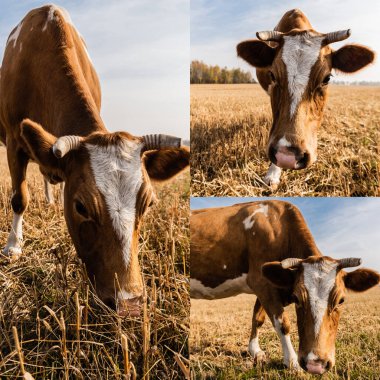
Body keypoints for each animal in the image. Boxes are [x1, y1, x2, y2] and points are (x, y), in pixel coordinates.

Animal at [0, 5, 190, 316]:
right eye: (80, 206)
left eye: (148, 204)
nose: (129, 304)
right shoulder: (15, 142)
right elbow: (19, 198)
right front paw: (13, 246)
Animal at [191, 202, 378, 374]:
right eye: (297, 298)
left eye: (341, 300)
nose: (316, 364)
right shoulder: (261, 282)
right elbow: (282, 324)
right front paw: (293, 362)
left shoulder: (266, 284)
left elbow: (257, 318)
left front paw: (255, 351)